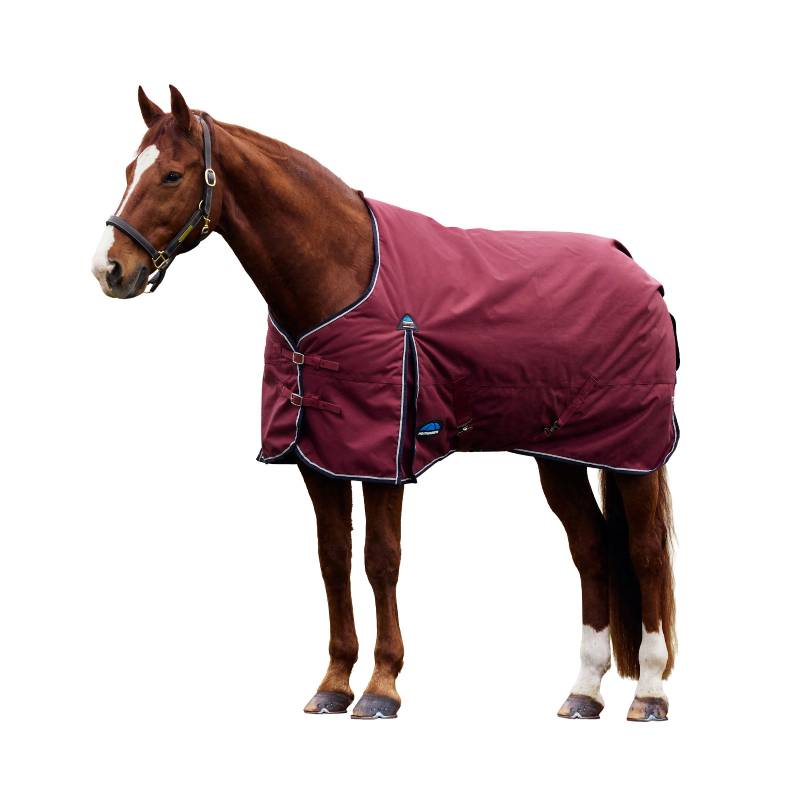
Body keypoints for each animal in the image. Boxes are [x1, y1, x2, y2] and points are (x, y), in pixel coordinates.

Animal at [92, 85, 678, 722]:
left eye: (172, 175)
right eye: (129, 171)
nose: (109, 269)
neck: (340, 274)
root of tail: (637, 271)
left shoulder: (383, 460)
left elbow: (381, 560)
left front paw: (381, 686)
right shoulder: (319, 460)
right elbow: (333, 558)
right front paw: (333, 682)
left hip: (634, 455)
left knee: (644, 553)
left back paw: (649, 692)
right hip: (560, 456)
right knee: (591, 549)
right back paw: (583, 693)